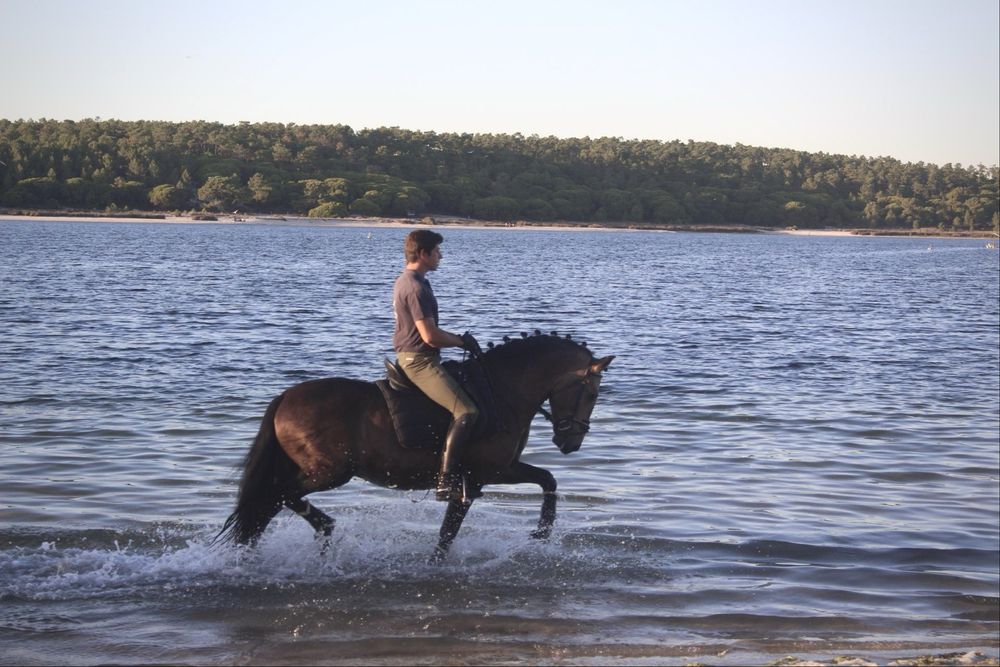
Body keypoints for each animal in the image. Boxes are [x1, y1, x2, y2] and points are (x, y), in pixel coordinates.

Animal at [216, 332, 614, 560]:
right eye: (593, 394)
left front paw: (542, 531)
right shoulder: (479, 477)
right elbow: (448, 535)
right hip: (328, 472)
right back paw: (321, 529)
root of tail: (285, 397)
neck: (502, 391)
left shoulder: (497, 471)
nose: (571, 442)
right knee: (274, 497)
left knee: (269, 502)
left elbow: (547, 479)